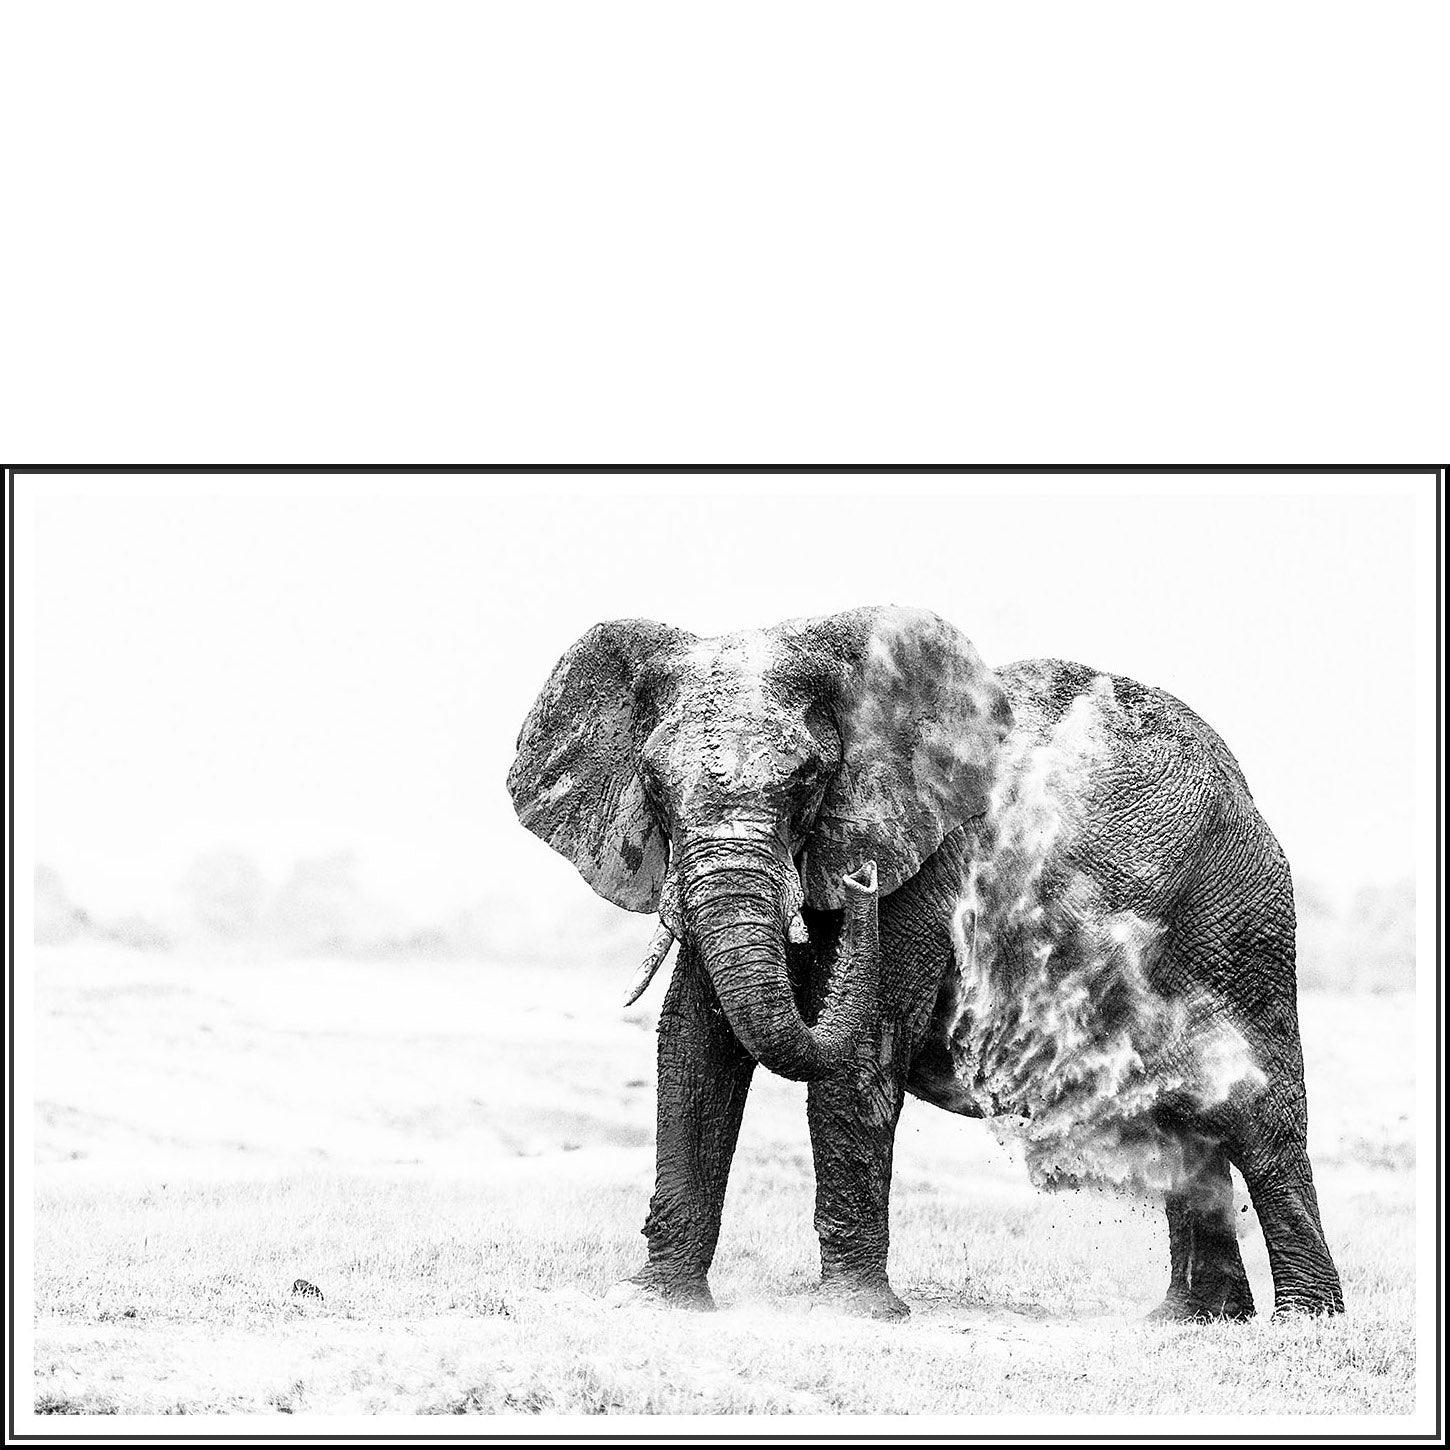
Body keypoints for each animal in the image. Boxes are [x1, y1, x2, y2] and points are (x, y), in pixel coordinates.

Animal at [510, 603, 1345, 1328]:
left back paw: (1304, 1324)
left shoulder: (928, 869)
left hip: (1236, 912)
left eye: (807, 781)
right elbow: (694, 1047)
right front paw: (651, 1302)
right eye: (653, 785)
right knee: (1183, 1121)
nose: (858, 885)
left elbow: (861, 1053)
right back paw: (1192, 1321)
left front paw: (851, 1314)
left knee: (1255, 1112)